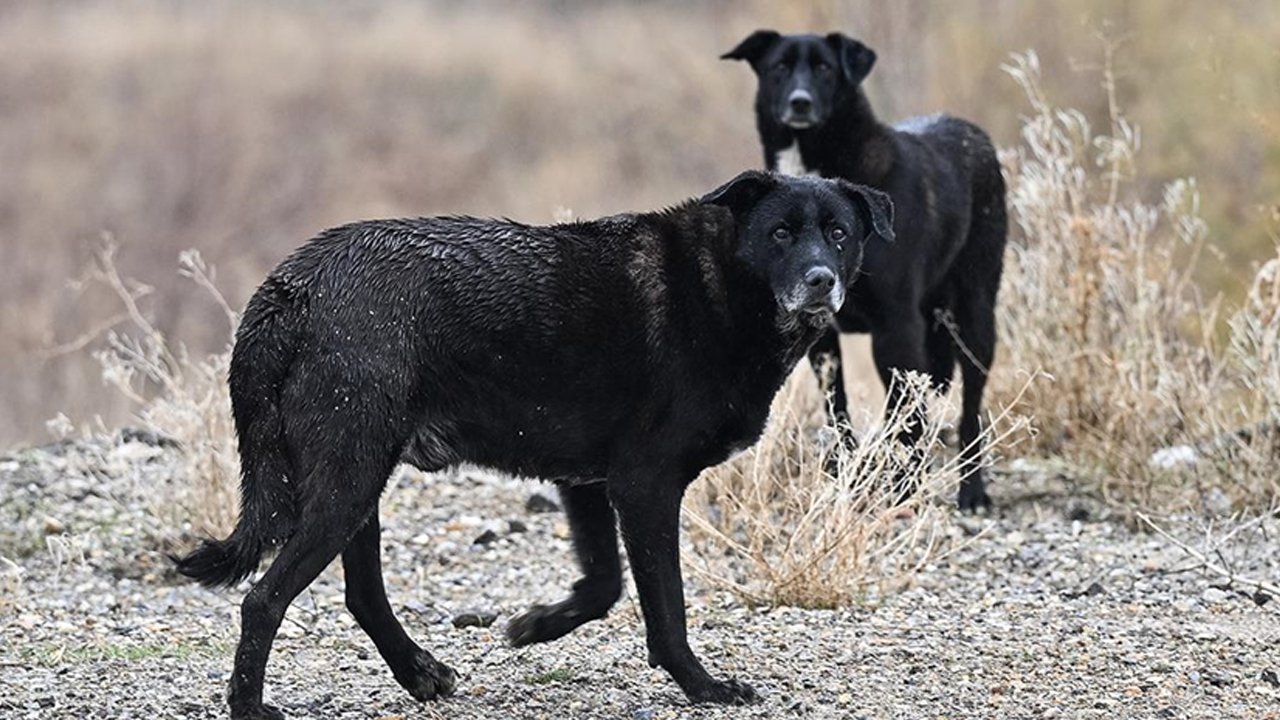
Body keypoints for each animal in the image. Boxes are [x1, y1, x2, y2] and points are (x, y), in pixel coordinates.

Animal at [172, 170, 890, 712]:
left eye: (838, 233)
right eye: (779, 234)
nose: (821, 280)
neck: (720, 286)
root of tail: (291, 286)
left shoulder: (589, 482)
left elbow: (605, 586)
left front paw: (537, 625)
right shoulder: (645, 485)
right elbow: (667, 607)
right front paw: (703, 686)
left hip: (356, 482)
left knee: (361, 594)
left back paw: (420, 674)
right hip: (347, 481)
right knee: (263, 599)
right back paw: (251, 705)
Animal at [727, 29, 1003, 509]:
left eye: (825, 68)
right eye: (780, 67)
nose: (800, 102)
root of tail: (973, 132)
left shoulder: (896, 329)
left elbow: (906, 416)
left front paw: (906, 488)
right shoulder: (823, 339)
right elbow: (838, 410)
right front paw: (846, 476)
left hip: (975, 316)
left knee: (970, 405)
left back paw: (972, 490)